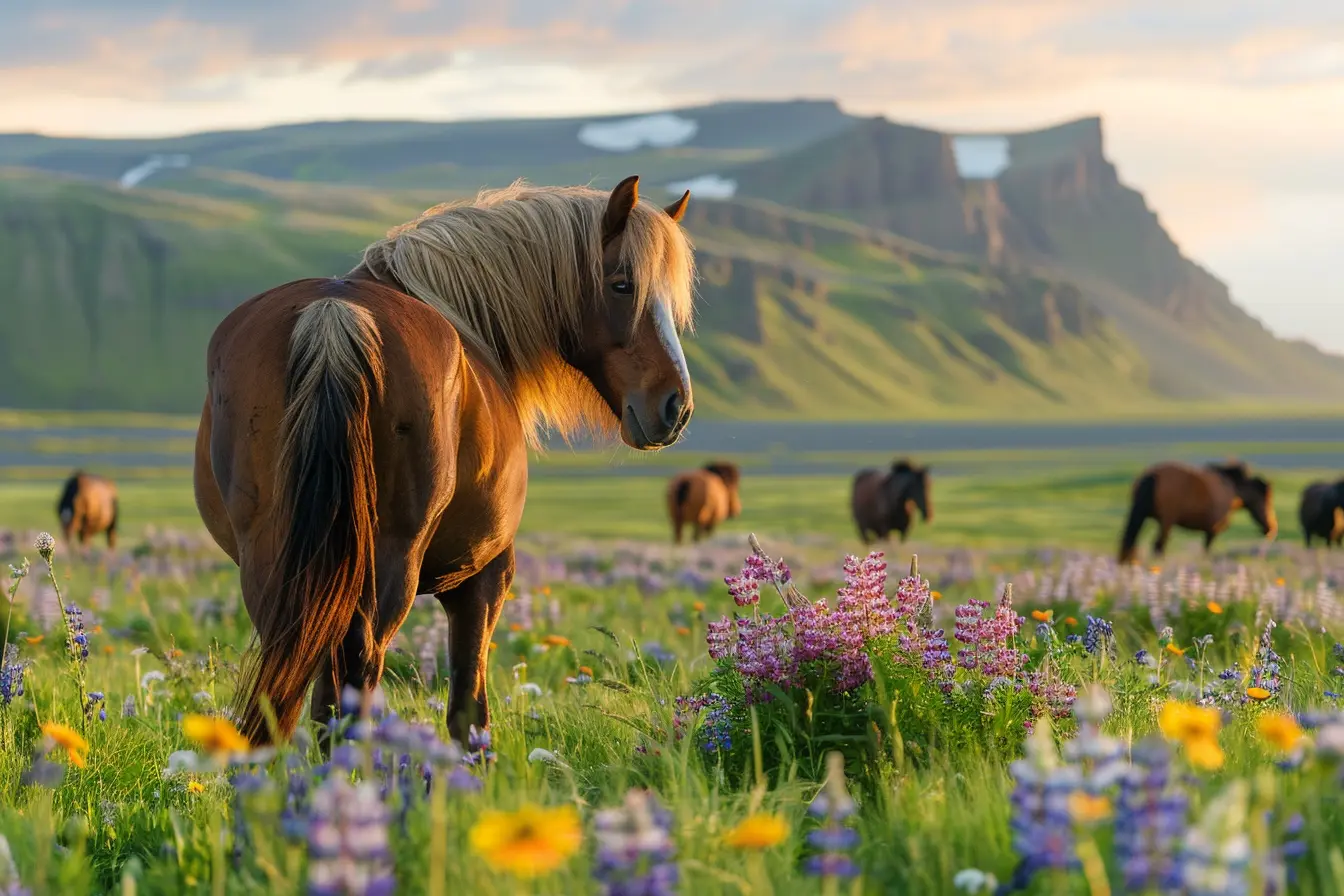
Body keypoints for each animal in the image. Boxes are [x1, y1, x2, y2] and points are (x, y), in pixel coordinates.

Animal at [193, 176, 697, 746]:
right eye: (621, 285)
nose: (676, 405)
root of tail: (333, 314)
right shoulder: (483, 576)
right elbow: (468, 706)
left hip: (283, 559)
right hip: (390, 560)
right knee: (360, 664)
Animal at [1118, 460, 1277, 564]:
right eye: (1267, 501)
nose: (1271, 528)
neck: (1231, 489)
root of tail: (1153, 475)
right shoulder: (1212, 530)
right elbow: (1206, 551)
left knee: (1132, 542)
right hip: (1166, 522)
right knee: (1158, 545)